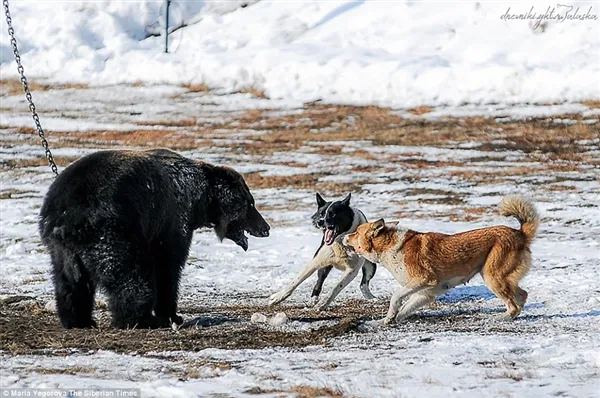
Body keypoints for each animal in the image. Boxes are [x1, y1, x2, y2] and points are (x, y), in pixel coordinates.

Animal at [39, 148, 270, 328]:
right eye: (250, 204)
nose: (266, 228)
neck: (200, 198)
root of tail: (65, 216)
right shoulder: (172, 218)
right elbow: (168, 264)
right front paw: (172, 315)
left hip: (61, 249)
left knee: (69, 283)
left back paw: (79, 320)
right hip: (113, 230)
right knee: (131, 275)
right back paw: (140, 319)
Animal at [342, 195, 540, 324]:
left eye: (356, 232)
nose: (343, 236)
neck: (390, 246)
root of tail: (520, 233)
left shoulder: (423, 280)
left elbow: (395, 297)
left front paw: (390, 317)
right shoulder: (424, 293)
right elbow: (403, 310)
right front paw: (386, 321)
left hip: (492, 277)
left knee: (514, 305)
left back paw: (499, 318)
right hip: (500, 278)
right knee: (522, 296)